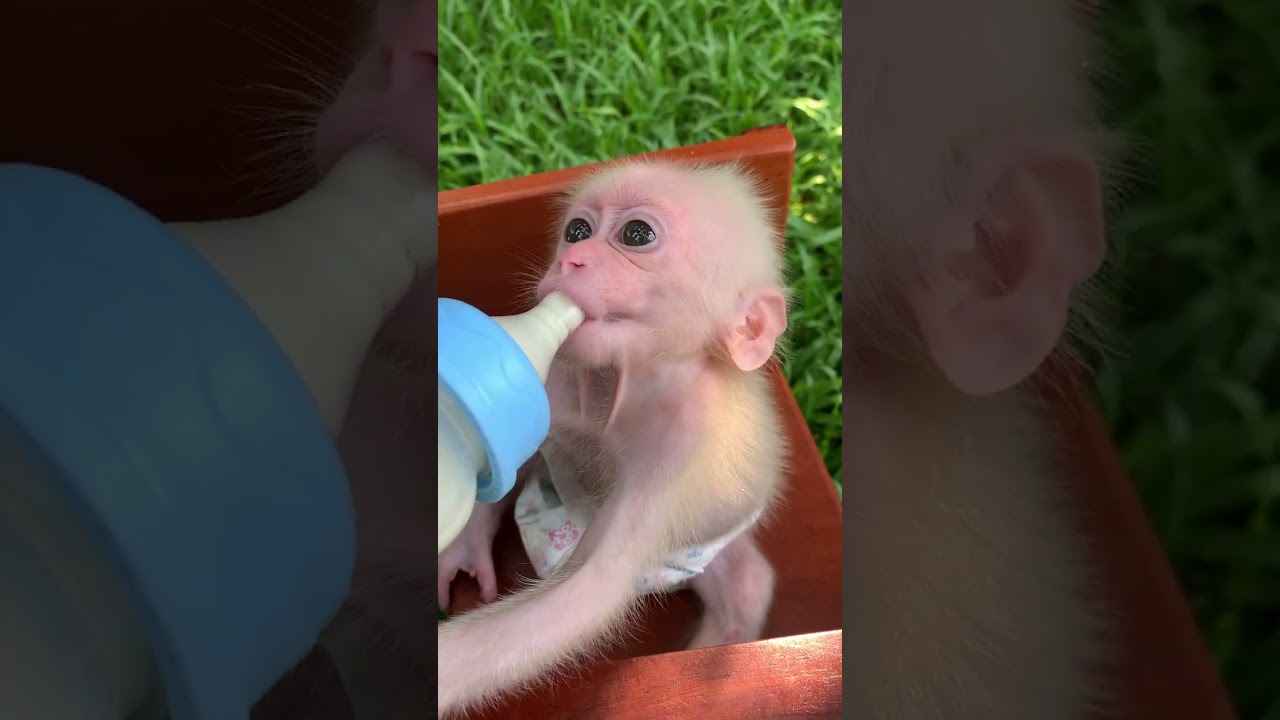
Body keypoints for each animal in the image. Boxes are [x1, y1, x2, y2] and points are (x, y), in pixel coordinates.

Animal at [434, 158, 793, 717]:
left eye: (636, 235)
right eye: (577, 231)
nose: (571, 260)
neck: (629, 382)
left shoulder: (681, 444)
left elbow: (589, 590)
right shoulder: (554, 375)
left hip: (695, 550)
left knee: (744, 582)